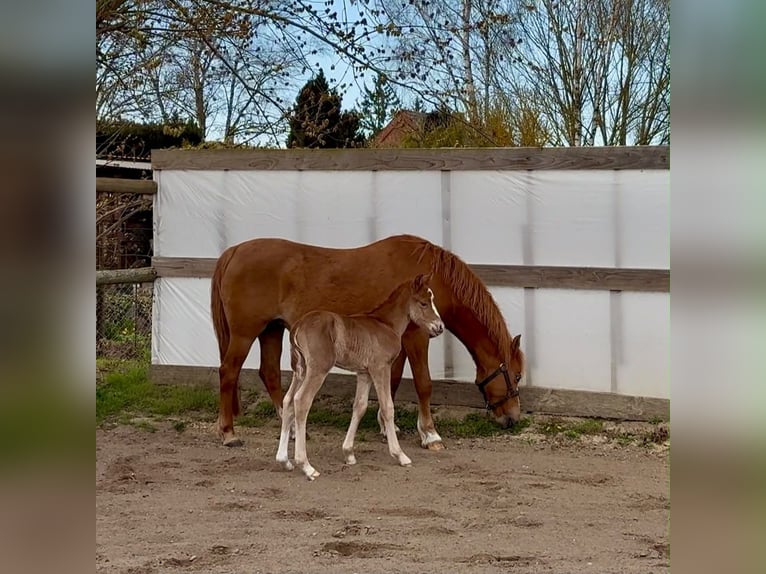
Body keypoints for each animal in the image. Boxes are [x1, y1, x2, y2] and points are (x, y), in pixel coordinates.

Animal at [211, 234, 525, 449]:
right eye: (517, 375)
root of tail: (234, 251)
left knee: (270, 374)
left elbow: (392, 381)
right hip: (245, 333)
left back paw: (292, 430)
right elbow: (423, 384)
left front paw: (387, 427)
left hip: (271, 330)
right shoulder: (417, 337)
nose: (513, 418)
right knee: (228, 372)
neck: (434, 279)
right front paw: (430, 433)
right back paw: (229, 433)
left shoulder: (396, 340)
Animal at [276, 273, 445, 480]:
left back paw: (284, 461)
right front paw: (400, 455)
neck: (386, 324)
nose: (440, 327)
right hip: (317, 369)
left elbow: (360, 407)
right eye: (423, 303)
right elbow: (387, 407)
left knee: (288, 401)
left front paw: (348, 453)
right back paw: (306, 466)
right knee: (301, 401)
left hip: (300, 371)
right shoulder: (381, 368)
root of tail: (298, 326)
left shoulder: (364, 373)